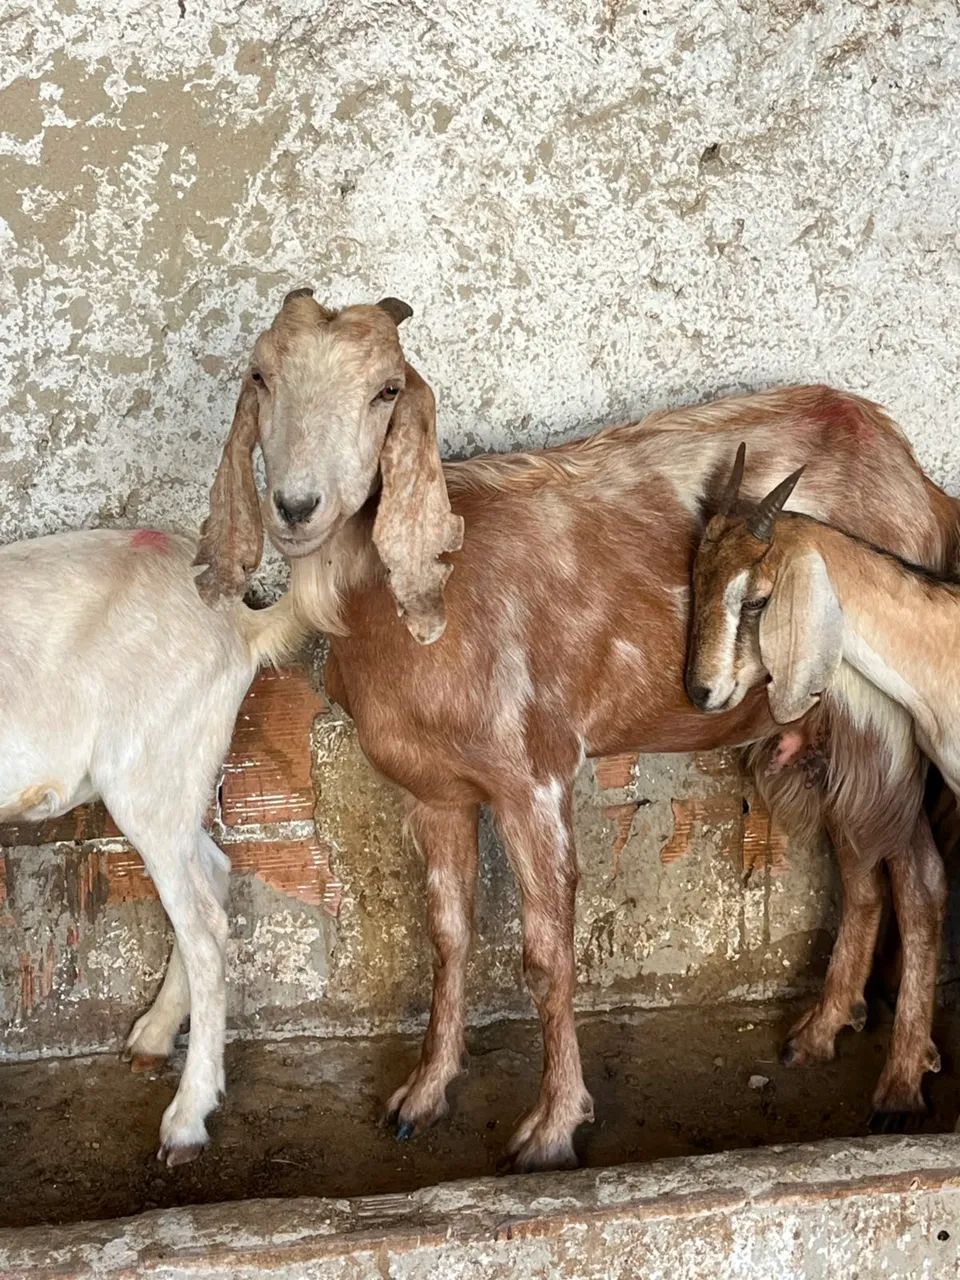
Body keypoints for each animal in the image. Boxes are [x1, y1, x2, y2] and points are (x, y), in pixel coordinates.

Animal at [0, 527, 298, 1164]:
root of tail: (235, 622)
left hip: (147, 774)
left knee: (204, 928)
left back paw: (187, 1119)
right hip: (175, 778)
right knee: (213, 873)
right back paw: (155, 1038)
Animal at [194, 287, 960, 1171]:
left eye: (386, 389)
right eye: (260, 375)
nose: (297, 506)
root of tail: (921, 483)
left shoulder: (535, 773)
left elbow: (546, 954)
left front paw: (552, 1126)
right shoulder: (434, 790)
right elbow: (448, 934)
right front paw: (424, 1093)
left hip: (886, 720)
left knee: (919, 879)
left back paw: (899, 1080)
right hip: (821, 728)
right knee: (862, 866)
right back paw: (822, 1029)